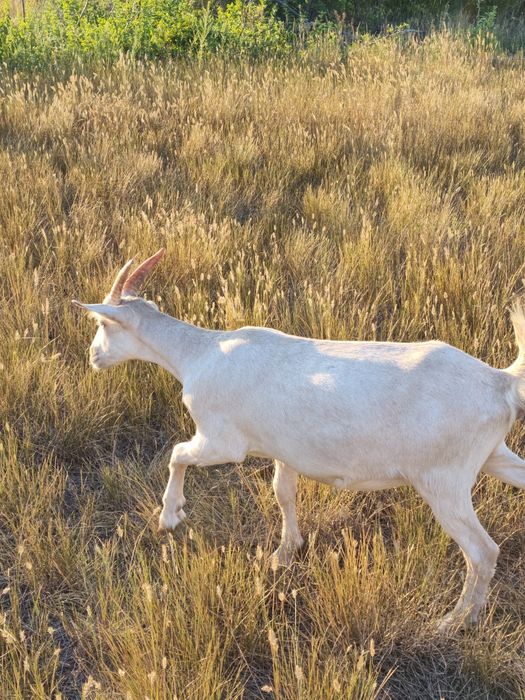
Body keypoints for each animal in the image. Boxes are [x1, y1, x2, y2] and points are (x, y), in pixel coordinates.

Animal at [73, 249, 525, 632]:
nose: (92, 357)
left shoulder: (221, 440)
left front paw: (170, 516)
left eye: (102, 324)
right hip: (492, 454)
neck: (197, 354)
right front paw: (284, 554)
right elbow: (283, 492)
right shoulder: (283, 448)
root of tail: (500, 384)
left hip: (443, 478)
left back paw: (454, 621)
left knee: (482, 551)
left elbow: (177, 454)